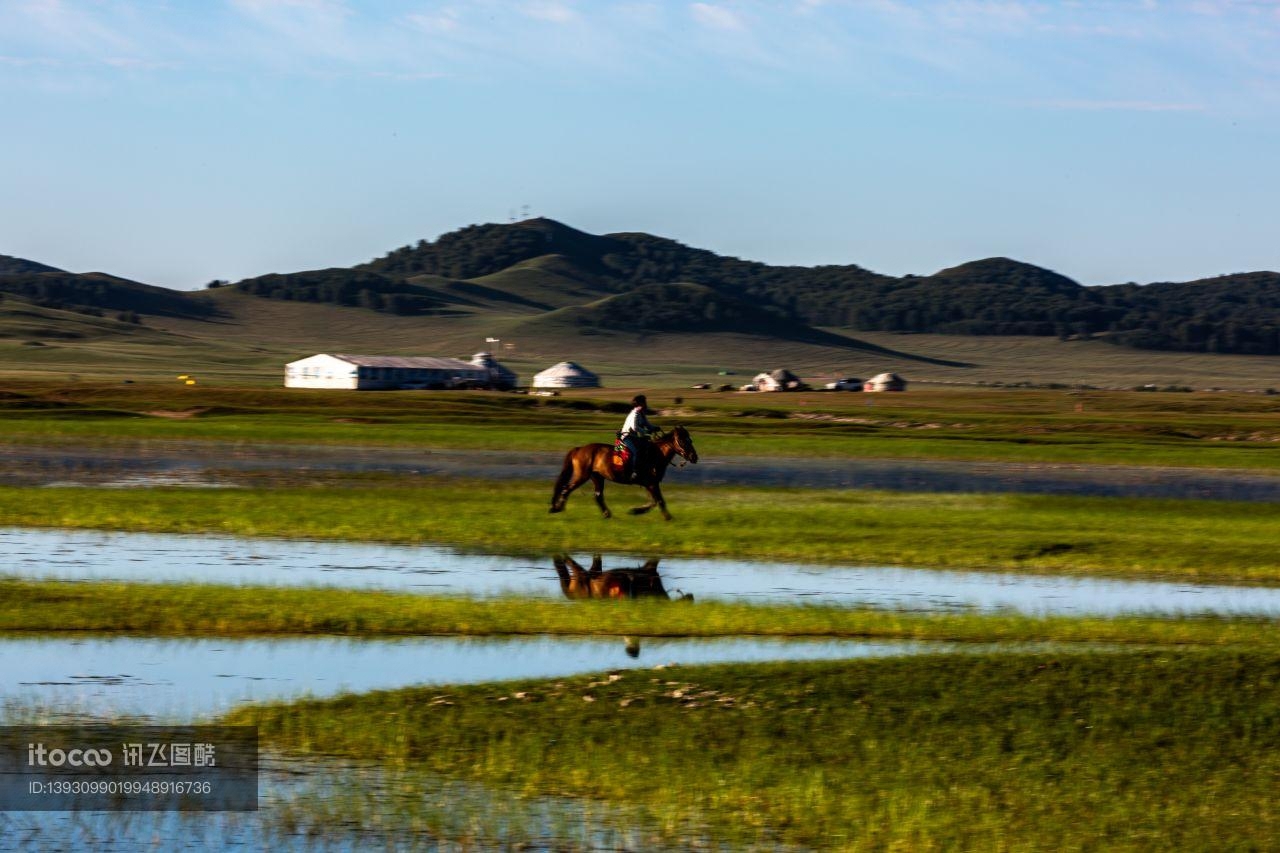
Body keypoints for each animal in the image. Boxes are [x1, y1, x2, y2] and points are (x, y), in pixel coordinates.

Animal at [545, 422, 696, 514]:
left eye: (690, 439)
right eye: (682, 440)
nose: (694, 457)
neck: (655, 454)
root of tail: (579, 449)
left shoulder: (650, 484)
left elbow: (654, 501)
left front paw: (636, 511)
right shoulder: (652, 484)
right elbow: (659, 501)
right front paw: (668, 518)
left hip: (597, 477)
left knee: (598, 495)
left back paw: (607, 514)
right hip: (582, 475)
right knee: (566, 488)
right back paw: (558, 508)